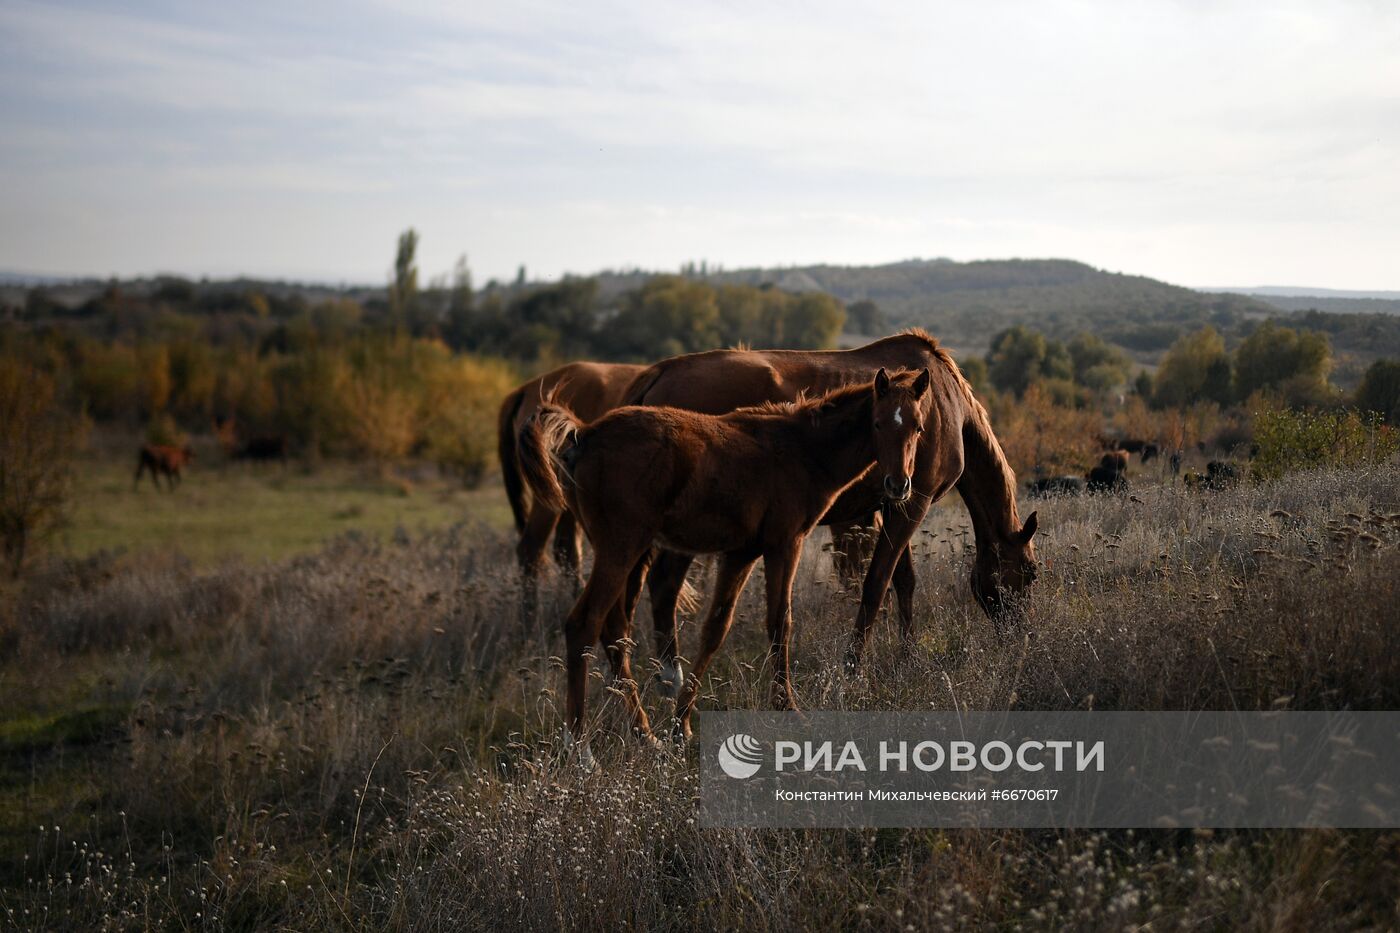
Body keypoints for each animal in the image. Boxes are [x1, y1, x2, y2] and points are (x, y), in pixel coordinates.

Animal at [515, 367, 929, 745]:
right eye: (877, 423)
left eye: (918, 427)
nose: (898, 485)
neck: (800, 450)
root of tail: (583, 435)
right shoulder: (785, 544)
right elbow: (780, 622)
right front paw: (788, 708)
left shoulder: (740, 554)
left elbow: (715, 628)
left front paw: (681, 724)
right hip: (621, 547)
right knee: (584, 625)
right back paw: (580, 748)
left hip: (622, 551)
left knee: (614, 629)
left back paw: (644, 733)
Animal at [618, 326, 1036, 689]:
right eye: (1030, 573)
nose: (1022, 637)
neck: (948, 407)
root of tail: (660, 372)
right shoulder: (911, 503)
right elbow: (876, 584)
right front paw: (855, 666)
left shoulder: (890, 504)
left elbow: (902, 581)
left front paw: (907, 656)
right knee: (659, 587)